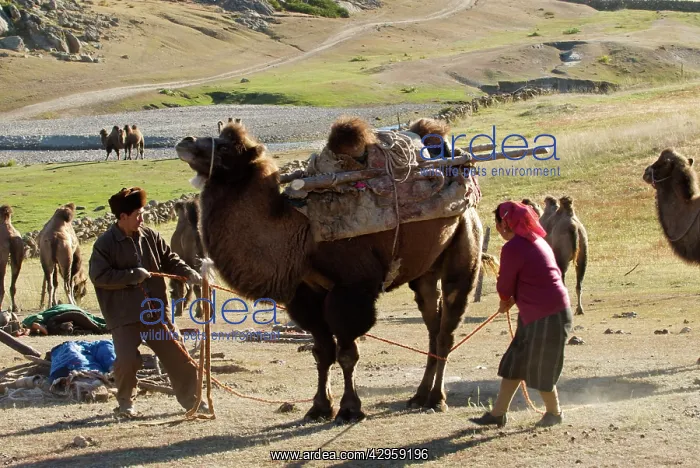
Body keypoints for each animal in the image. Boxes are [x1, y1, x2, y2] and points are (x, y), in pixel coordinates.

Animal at [176, 119, 484, 423]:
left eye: (225, 147)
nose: (186, 141)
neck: (301, 235)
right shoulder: (305, 294)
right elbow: (322, 352)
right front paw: (320, 407)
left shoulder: (350, 291)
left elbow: (347, 353)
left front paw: (349, 408)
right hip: (425, 272)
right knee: (432, 323)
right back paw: (419, 395)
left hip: (464, 248)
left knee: (446, 329)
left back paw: (437, 399)